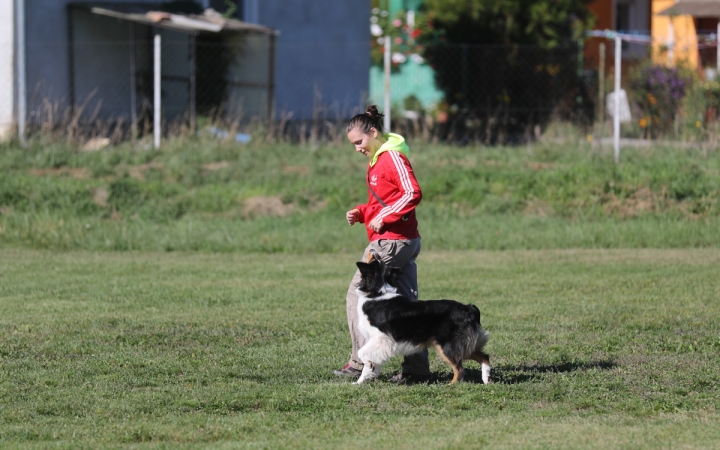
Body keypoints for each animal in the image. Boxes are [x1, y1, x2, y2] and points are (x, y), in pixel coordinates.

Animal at [352, 255, 490, 384]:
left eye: (374, 262)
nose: (375, 254)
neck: (376, 292)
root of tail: (468, 307)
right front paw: (360, 382)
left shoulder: (382, 338)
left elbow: (361, 352)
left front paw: (368, 368)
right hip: (463, 344)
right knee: (484, 356)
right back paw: (486, 379)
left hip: (447, 345)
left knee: (460, 369)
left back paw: (450, 385)